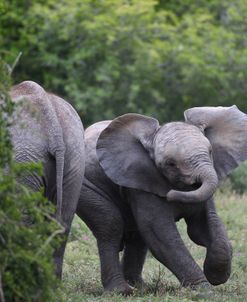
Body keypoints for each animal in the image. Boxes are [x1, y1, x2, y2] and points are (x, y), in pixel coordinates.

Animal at [76, 107, 247, 294]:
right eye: (170, 164)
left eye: (210, 152)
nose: (170, 194)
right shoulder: (140, 182)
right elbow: (161, 234)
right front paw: (204, 290)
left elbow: (202, 227)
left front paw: (216, 276)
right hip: (84, 187)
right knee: (110, 225)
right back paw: (122, 291)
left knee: (137, 236)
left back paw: (139, 287)